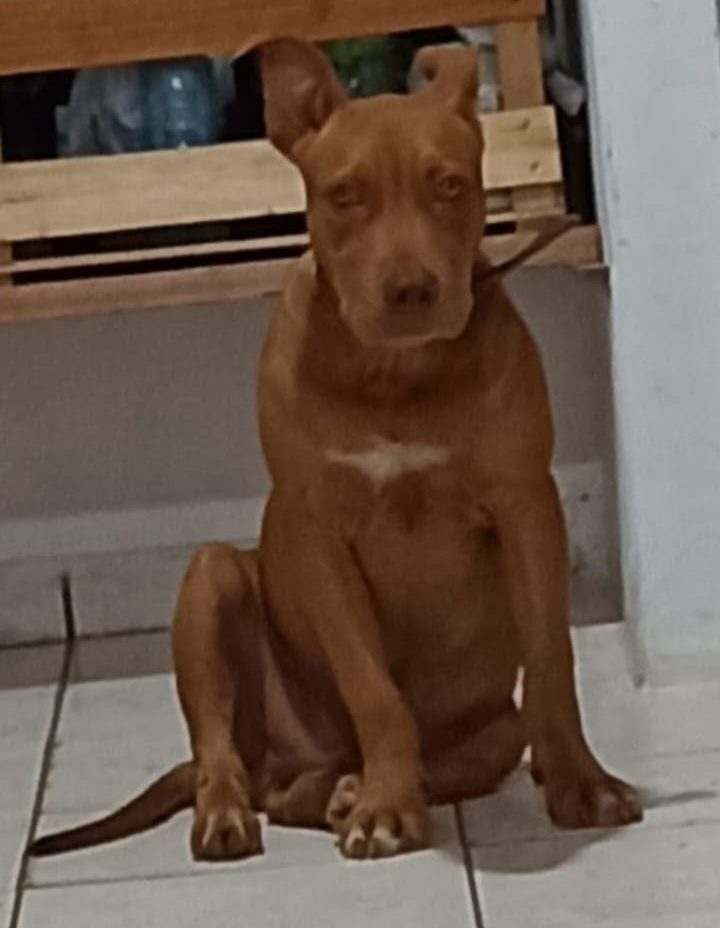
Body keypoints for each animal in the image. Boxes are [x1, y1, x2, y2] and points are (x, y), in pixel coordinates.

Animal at [30, 39, 642, 863]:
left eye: (450, 186)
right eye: (345, 194)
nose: (411, 290)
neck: (392, 373)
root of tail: (281, 761)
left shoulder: (527, 507)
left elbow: (551, 658)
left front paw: (581, 781)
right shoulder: (320, 535)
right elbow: (372, 688)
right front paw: (386, 806)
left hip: (493, 727)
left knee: (404, 767)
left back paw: (345, 789)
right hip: (210, 583)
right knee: (220, 754)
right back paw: (245, 811)